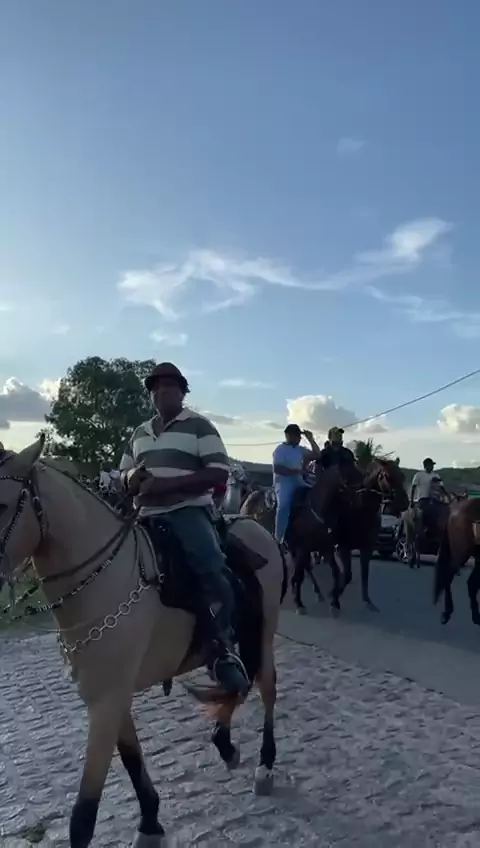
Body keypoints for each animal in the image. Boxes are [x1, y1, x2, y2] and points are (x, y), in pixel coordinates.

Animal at [0, 439, 288, 848]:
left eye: (2, 505)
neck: (104, 580)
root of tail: (257, 529)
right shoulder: (109, 696)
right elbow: (132, 758)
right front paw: (150, 821)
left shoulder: (106, 701)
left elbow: (83, 814)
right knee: (237, 683)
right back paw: (225, 743)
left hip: (263, 633)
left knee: (265, 688)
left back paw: (264, 765)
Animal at [288, 459, 409, 615]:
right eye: (387, 476)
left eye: (403, 476)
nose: (404, 503)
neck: (360, 513)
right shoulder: (342, 547)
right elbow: (346, 574)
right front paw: (334, 601)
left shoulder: (366, 547)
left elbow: (363, 574)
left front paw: (367, 601)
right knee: (303, 569)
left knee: (306, 568)